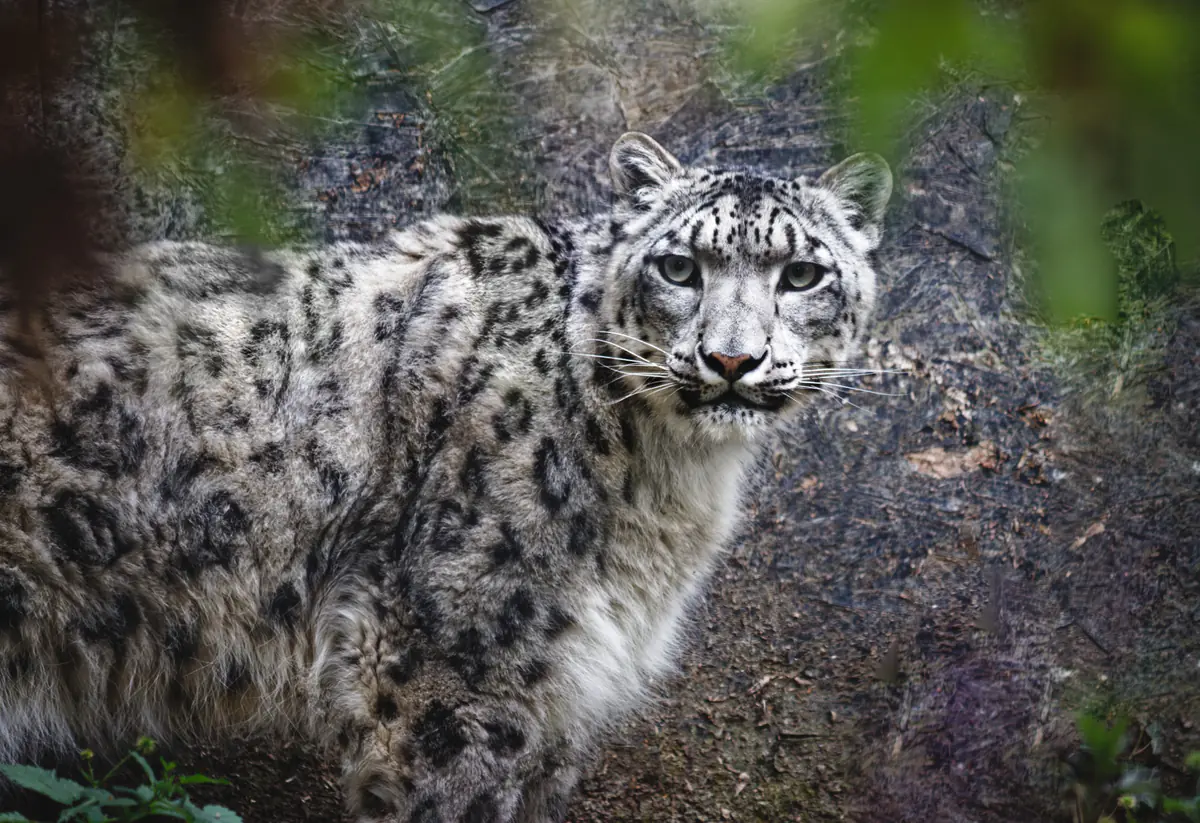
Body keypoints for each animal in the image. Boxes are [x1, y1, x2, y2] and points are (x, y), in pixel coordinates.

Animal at [0, 132, 891, 822]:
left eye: (802, 275)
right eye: (678, 267)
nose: (732, 359)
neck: (670, 478)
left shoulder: (556, 698)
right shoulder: (460, 674)